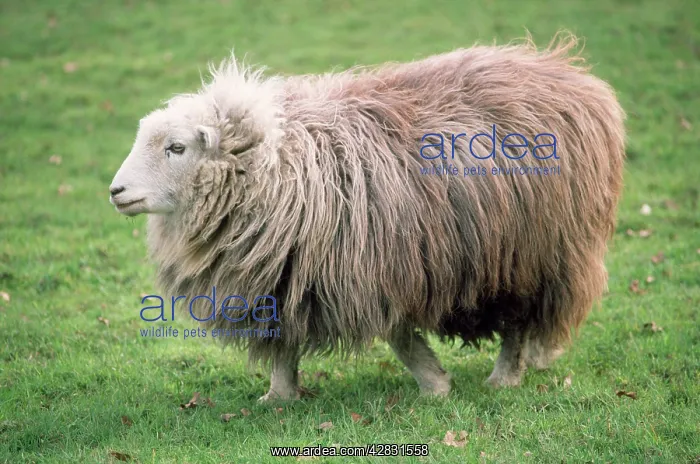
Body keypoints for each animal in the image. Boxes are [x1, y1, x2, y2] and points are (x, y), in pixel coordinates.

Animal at [109, 32, 625, 401]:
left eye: (177, 148)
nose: (115, 191)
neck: (275, 164)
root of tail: (569, 72)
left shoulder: (373, 268)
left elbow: (399, 337)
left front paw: (435, 387)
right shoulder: (286, 276)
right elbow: (285, 342)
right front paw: (279, 397)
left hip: (533, 253)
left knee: (517, 322)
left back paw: (504, 378)